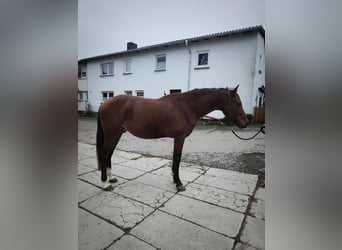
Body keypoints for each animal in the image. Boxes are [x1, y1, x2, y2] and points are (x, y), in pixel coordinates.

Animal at [96, 86, 248, 191]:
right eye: (238, 103)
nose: (245, 123)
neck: (186, 106)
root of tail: (104, 103)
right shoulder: (179, 138)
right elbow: (177, 158)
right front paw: (179, 183)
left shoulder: (177, 138)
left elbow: (175, 159)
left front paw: (175, 180)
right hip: (112, 134)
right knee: (104, 155)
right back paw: (105, 183)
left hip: (116, 135)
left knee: (109, 154)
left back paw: (111, 178)